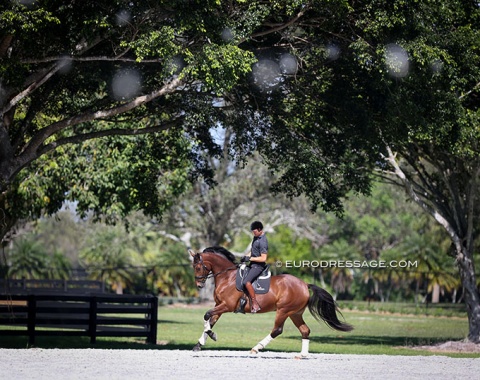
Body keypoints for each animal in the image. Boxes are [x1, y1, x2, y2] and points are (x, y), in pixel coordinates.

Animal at [188, 246, 352, 356]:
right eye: (194, 267)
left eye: (198, 267)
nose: (199, 284)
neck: (227, 277)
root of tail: (304, 284)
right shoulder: (219, 305)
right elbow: (211, 320)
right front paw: (199, 344)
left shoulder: (227, 306)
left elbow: (207, 315)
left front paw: (212, 335)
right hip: (295, 313)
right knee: (305, 330)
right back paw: (303, 355)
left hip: (283, 311)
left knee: (277, 330)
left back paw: (256, 348)